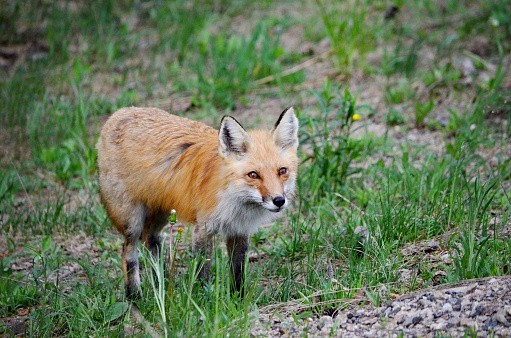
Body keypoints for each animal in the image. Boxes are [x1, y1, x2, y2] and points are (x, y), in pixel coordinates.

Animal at [96, 107, 298, 300]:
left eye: (282, 171)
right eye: (253, 175)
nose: (279, 201)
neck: (236, 200)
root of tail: (120, 112)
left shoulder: (239, 230)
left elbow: (238, 271)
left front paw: (238, 300)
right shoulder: (203, 228)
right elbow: (202, 270)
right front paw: (202, 299)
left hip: (163, 211)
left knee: (151, 240)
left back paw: (162, 283)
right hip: (132, 220)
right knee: (128, 252)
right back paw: (135, 296)